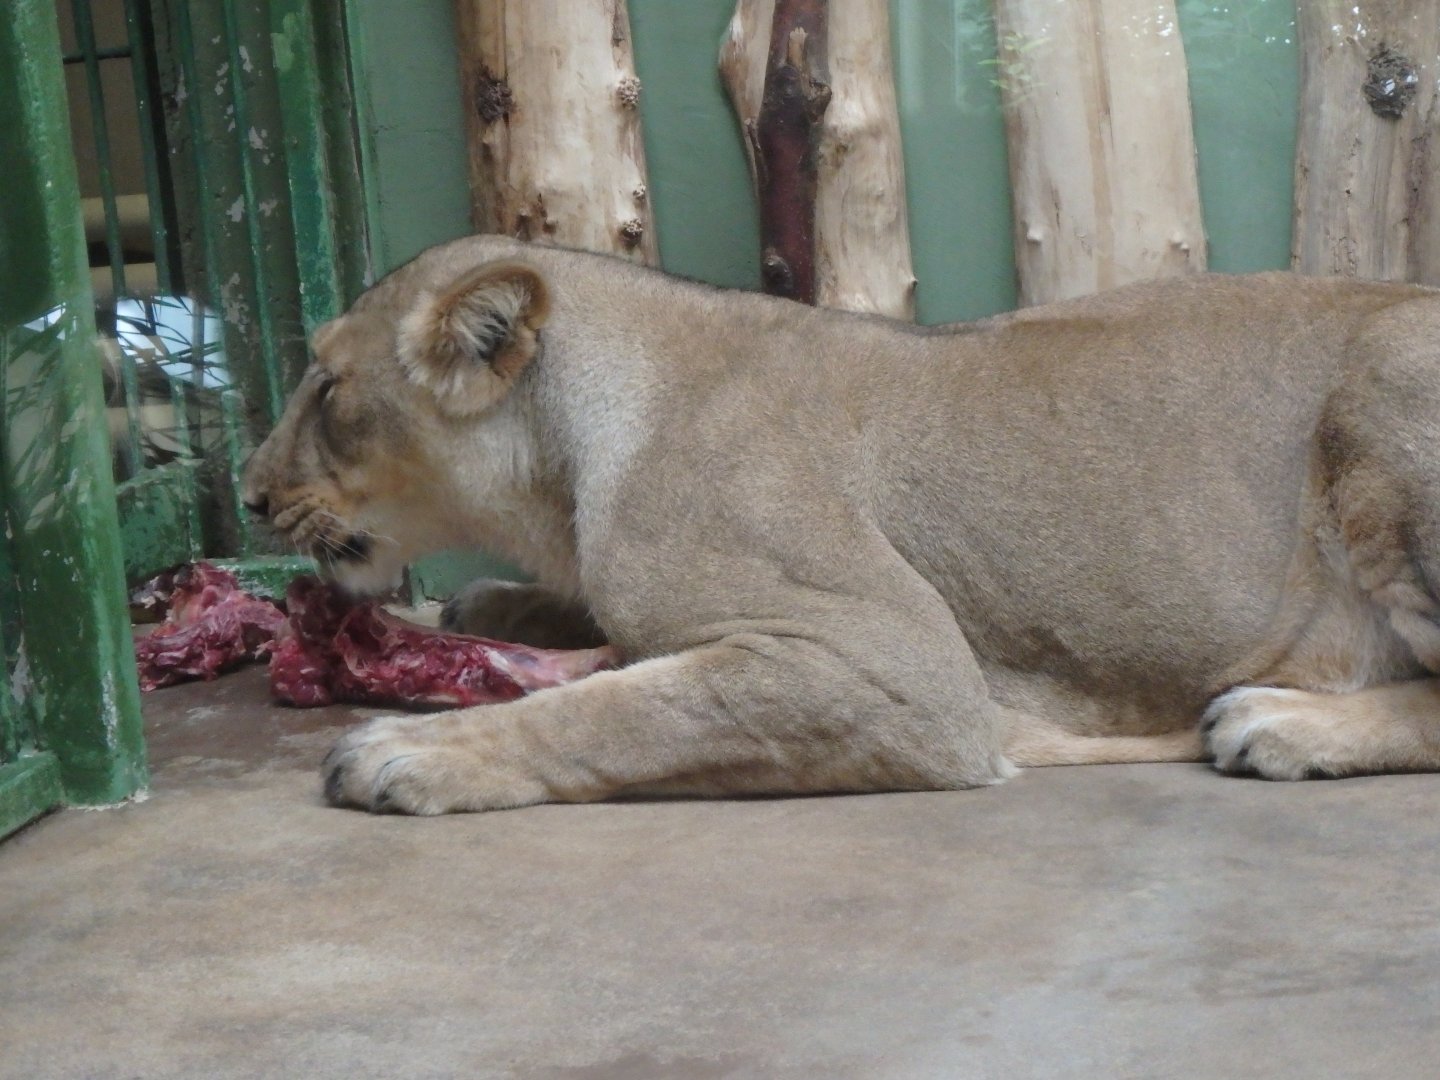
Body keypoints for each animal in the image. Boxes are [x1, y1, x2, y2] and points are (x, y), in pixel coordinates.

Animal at [241, 235, 1440, 814]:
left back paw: (1281, 724)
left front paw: (409, 749)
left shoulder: (894, 663)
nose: (248, 495)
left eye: (328, 388)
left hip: (1386, 384)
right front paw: (484, 607)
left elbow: (621, 710)